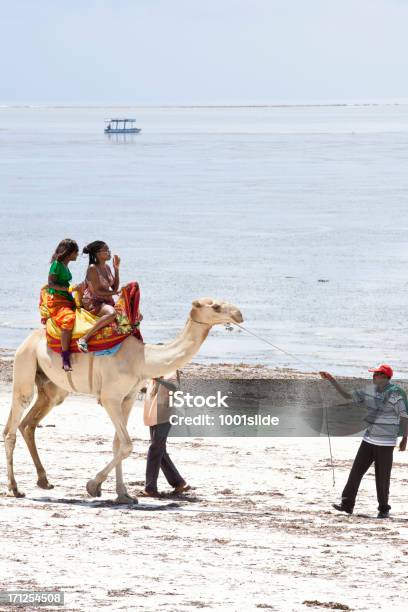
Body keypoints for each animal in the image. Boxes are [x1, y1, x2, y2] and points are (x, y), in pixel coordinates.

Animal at [3, 296, 242, 502]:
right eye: (216, 307)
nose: (239, 314)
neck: (141, 360)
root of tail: (26, 342)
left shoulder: (127, 398)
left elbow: (117, 444)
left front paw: (123, 494)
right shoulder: (110, 397)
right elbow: (126, 445)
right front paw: (94, 486)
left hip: (53, 389)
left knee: (28, 424)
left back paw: (43, 481)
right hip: (25, 365)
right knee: (12, 427)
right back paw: (15, 488)